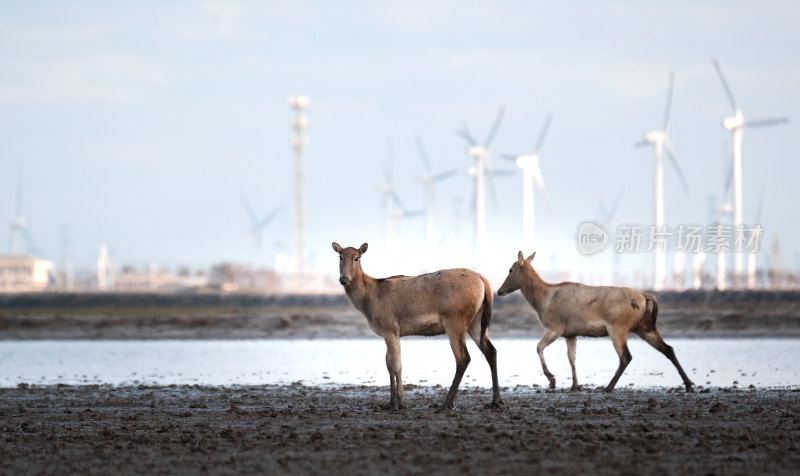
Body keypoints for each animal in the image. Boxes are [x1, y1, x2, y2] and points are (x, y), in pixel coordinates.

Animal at [332, 242, 500, 410]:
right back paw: (495, 401)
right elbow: (388, 364)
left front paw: (401, 402)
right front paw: (390, 402)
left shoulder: (389, 327)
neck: (368, 300)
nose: (344, 279)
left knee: (463, 358)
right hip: (476, 322)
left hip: (455, 321)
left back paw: (446, 402)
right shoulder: (389, 332)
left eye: (356, 257)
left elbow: (396, 364)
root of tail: (484, 281)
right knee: (491, 351)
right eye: (340, 256)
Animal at [496, 251, 692, 392]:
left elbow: (538, 347)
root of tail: (646, 296)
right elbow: (571, 358)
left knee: (626, 357)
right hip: (644, 327)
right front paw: (575, 386)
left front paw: (552, 380)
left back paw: (608, 387)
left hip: (618, 328)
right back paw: (689, 384)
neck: (543, 300)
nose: (499, 291)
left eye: (510, 269)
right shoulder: (570, 333)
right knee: (668, 349)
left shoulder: (555, 327)